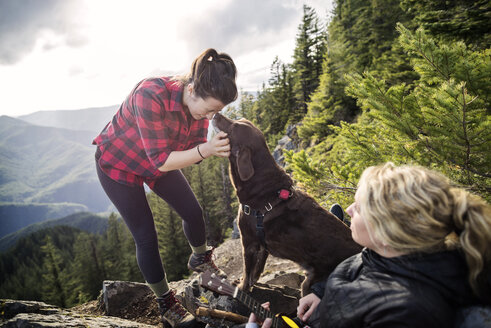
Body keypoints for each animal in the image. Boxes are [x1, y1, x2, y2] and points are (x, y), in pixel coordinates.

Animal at [213, 114, 364, 296]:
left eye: (233, 127)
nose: (215, 114)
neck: (261, 184)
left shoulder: (249, 242)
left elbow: (247, 269)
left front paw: (241, 287)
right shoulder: (262, 246)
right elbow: (257, 269)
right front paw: (252, 282)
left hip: (309, 283)